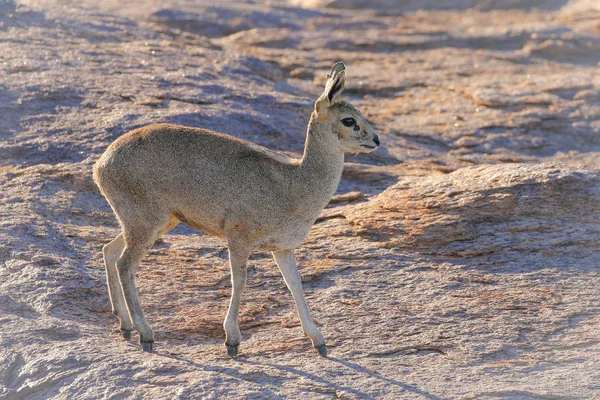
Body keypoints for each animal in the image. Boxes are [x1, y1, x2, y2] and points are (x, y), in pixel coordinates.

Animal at [94, 62, 380, 356]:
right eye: (349, 120)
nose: (376, 140)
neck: (297, 183)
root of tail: (101, 164)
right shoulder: (239, 237)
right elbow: (239, 280)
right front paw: (232, 339)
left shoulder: (283, 248)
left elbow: (295, 284)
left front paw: (318, 339)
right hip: (146, 223)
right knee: (125, 265)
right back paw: (145, 332)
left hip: (153, 223)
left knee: (109, 251)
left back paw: (125, 323)